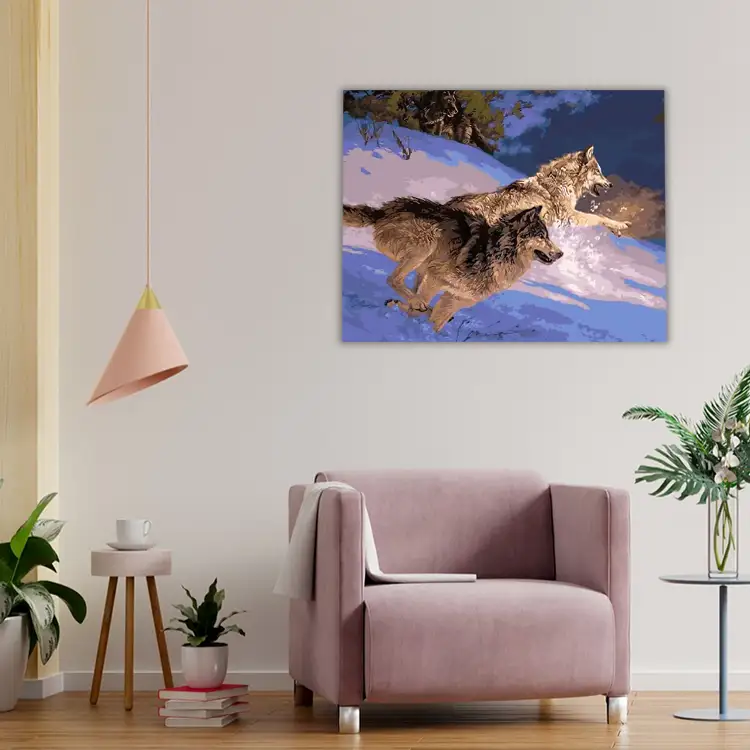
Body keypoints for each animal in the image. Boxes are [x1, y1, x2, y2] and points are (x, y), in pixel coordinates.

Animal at [446, 145, 629, 235]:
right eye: (598, 171)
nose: (611, 185)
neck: (565, 181)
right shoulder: (569, 216)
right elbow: (599, 217)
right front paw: (621, 225)